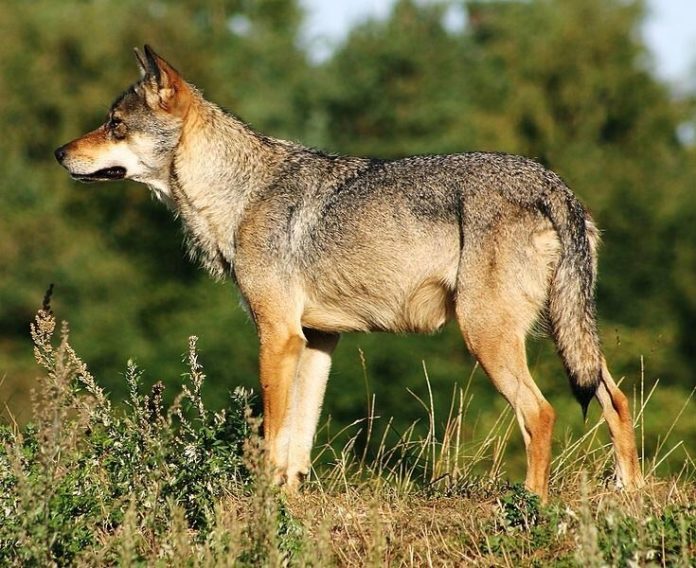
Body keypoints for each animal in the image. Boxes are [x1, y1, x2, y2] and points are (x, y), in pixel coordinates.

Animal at [54, 45, 640, 502]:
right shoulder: (316, 340)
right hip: (564, 335)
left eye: (114, 124)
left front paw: (263, 502)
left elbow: (273, 432)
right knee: (615, 398)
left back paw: (531, 506)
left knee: (541, 414)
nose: (59, 152)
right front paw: (288, 499)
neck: (237, 193)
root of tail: (555, 185)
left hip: (488, 337)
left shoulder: (278, 336)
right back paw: (630, 493)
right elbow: (299, 439)